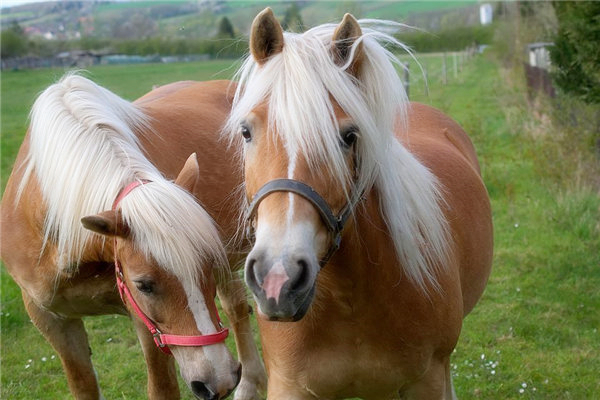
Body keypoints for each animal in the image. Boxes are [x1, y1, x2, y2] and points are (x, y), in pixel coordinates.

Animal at [225, 7, 492, 398]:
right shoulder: (288, 386)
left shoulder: (425, 381)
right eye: (246, 132)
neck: (349, 295)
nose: (278, 278)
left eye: (349, 136)